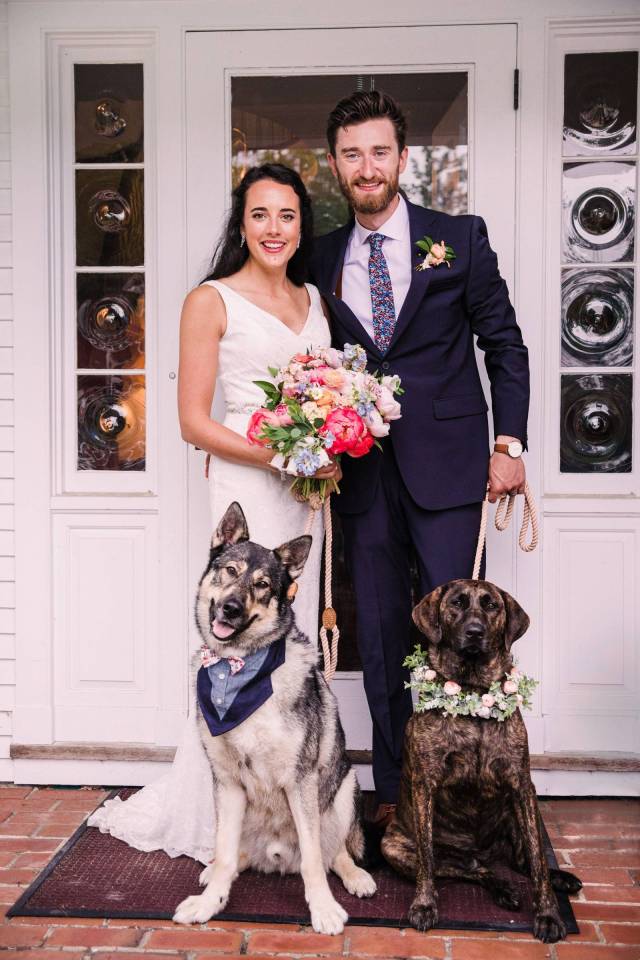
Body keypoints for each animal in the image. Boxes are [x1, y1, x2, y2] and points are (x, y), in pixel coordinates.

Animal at [172, 506, 378, 932]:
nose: (230, 609)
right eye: (229, 570)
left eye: (263, 584)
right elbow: (225, 852)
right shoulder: (227, 781)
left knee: (336, 852)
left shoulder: (300, 781)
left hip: (344, 788)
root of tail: (278, 856)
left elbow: (315, 860)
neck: (237, 671)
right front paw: (210, 902)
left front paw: (323, 909)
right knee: (235, 853)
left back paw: (356, 877)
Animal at [382, 580, 584, 940]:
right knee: (469, 870)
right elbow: (426, 862)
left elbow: (538, 861)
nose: (475, 632)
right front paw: (424, 905)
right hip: (393, 847)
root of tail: (480, 853)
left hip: (518, 814)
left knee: (522, 861)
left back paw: (557, 878)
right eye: (457, 603)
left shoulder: (522, 785)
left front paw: (548, 914)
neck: (472, 693)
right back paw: (501, 887)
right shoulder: (424, 785)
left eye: (492, 606)